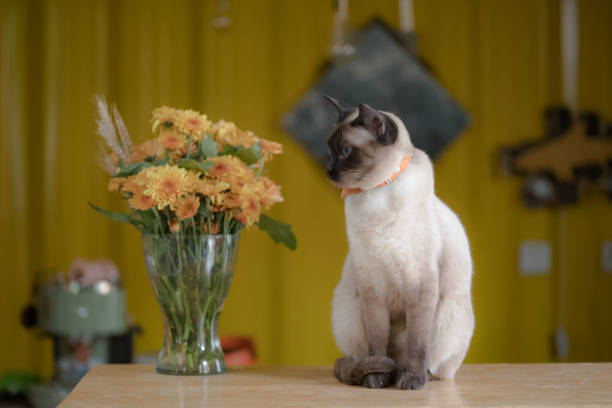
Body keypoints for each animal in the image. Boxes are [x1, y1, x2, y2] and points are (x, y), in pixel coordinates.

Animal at [328, 95, 476, 388]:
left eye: (346, 151)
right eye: (329, 148)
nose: (328, 170)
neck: (377, 193)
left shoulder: (420, 282)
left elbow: (417, 345)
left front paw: (411, 381)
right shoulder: (371, 285)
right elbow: (377, 342)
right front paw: (377, 378)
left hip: (448, 318)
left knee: (432, 363)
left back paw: (415, 376)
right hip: (348, 311)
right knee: (364, 356)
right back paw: (384, 373)